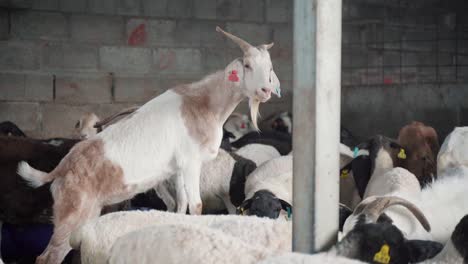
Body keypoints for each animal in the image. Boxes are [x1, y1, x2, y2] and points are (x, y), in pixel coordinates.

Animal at [17, 27, 282, 264]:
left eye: (270, 67)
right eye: (247, 65)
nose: (265, 90)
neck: (204, 103)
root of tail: (60, 169)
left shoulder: (177, 169)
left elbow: (181, 204)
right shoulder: (191, 162)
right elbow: (196, 205)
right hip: (72, 213)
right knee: (46, 257)